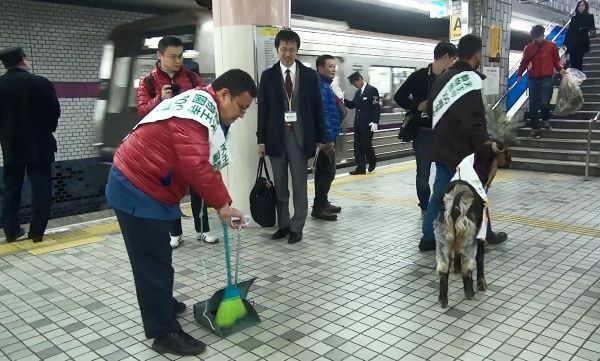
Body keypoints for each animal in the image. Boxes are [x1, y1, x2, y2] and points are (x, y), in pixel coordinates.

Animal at [434, 140, 512, 306]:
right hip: (468, 237)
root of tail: (455, 205)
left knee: (443, 269)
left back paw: (443, 299)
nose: (510, 160)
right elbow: (480, 258)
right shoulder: (480, 233)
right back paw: (470, 292)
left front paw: (456, 269)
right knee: (468, 266)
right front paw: (482, 284)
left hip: (443, 237)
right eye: (504, 151)